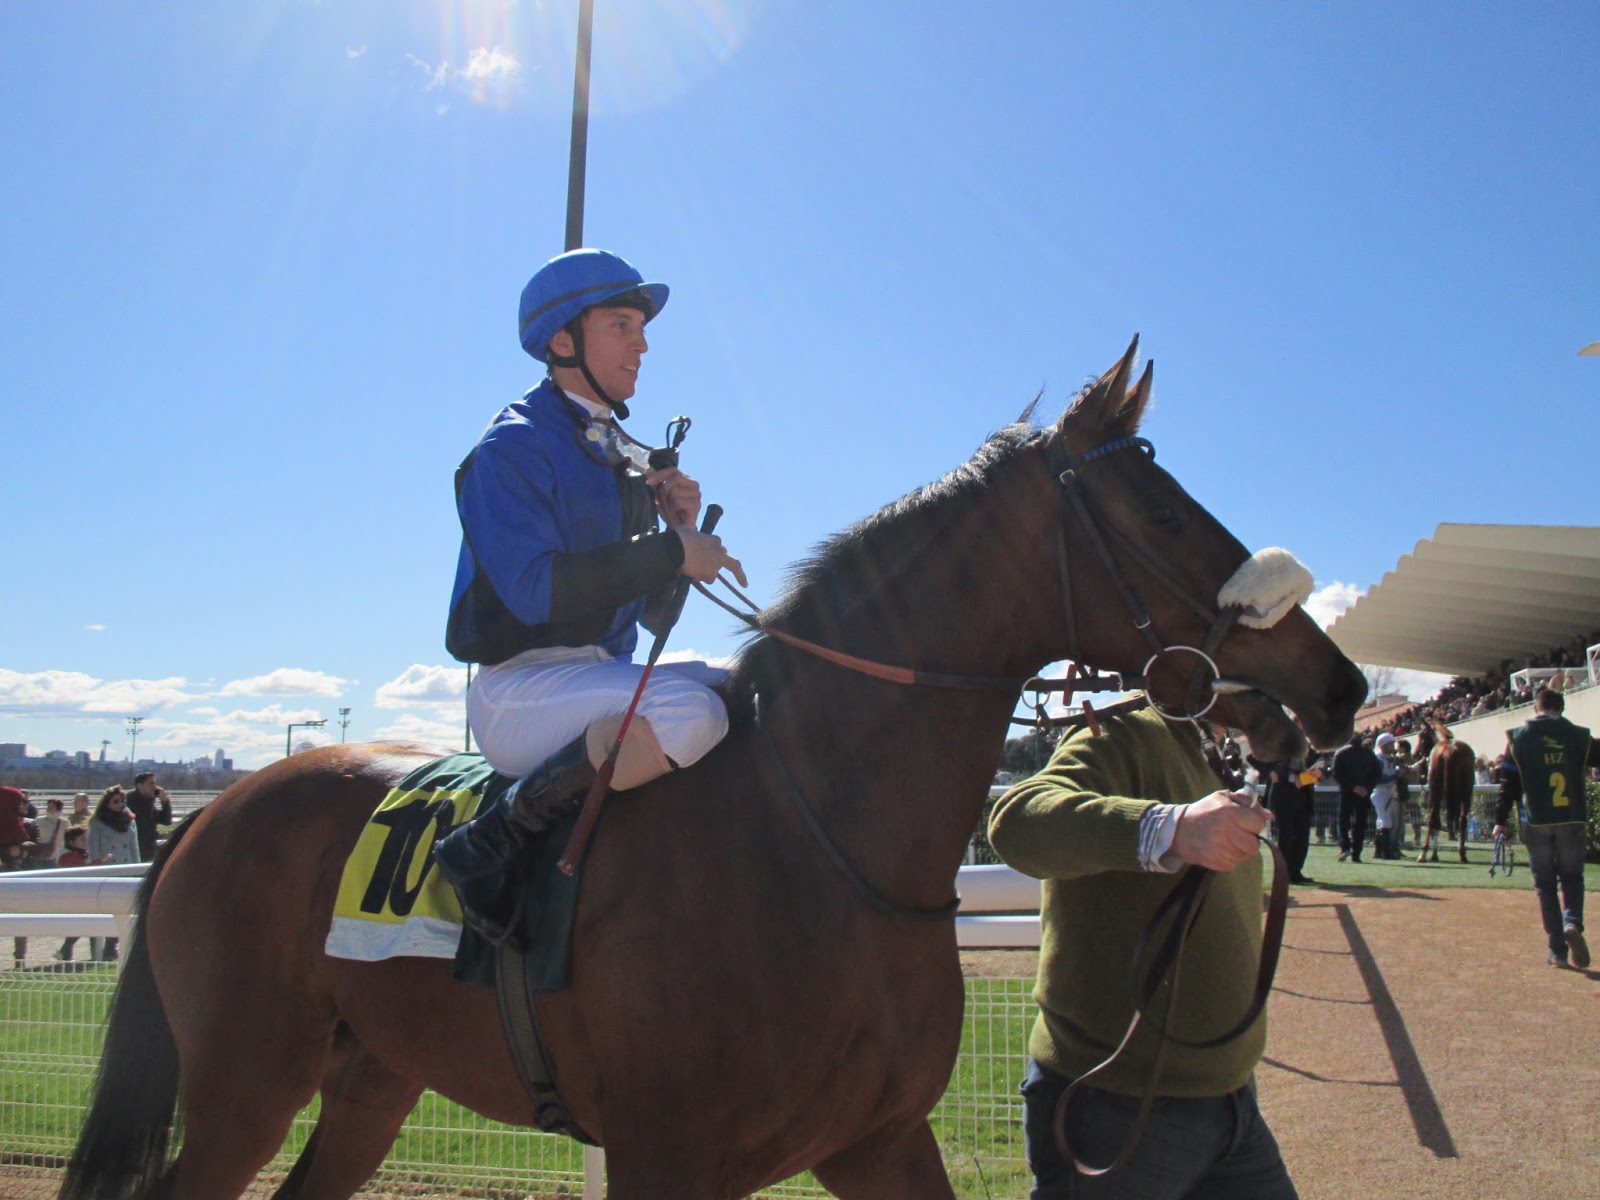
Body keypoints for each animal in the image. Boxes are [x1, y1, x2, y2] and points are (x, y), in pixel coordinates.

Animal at [61, 339, 1366, 1200]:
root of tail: (212, 811)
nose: (1339, 685)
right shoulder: (663, 1159)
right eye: (1162, 511)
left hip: (371, 1075)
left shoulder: (878, 1139)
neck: (820, 847)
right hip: (246, 1082)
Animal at [1420, 723, 1476, 862]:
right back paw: (1461, 853)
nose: (1416, 753)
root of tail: (1448, 750)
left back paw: (1425, 854)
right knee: (1461, 819)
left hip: (1436, 790)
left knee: (1433, 817)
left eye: (1422, 737)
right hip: (1465, 792)